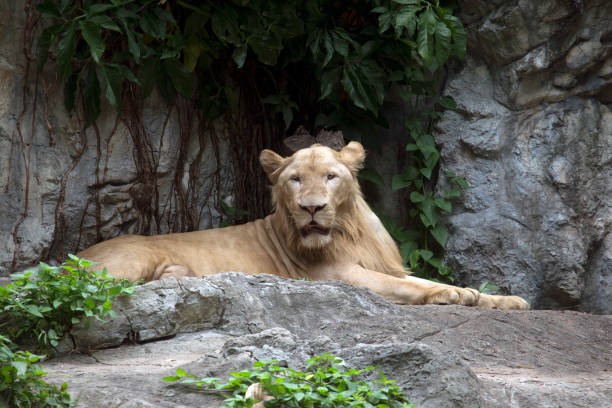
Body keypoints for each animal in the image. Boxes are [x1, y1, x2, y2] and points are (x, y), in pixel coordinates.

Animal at [79, 141, 528, 310]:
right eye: (295, 179)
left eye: (330, 177)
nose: (312, 208)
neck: (349, 231)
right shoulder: (339, 276)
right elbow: (411, 287)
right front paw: (452, 294)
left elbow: (425, 279)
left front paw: (501, 299)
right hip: (130, 258)